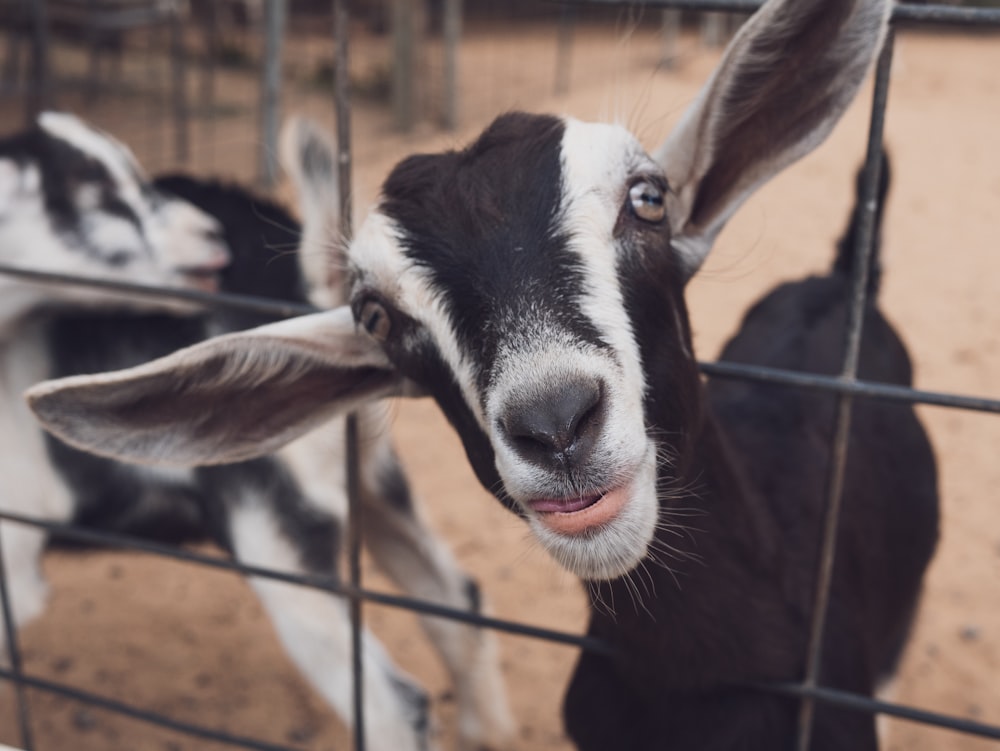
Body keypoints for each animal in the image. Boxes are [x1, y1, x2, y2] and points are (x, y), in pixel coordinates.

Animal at [0, 114, 512, 748]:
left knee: (395, 705)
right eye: (91, 191)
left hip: (276, 529)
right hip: (372, 482)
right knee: (459, 607)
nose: (209, 237)